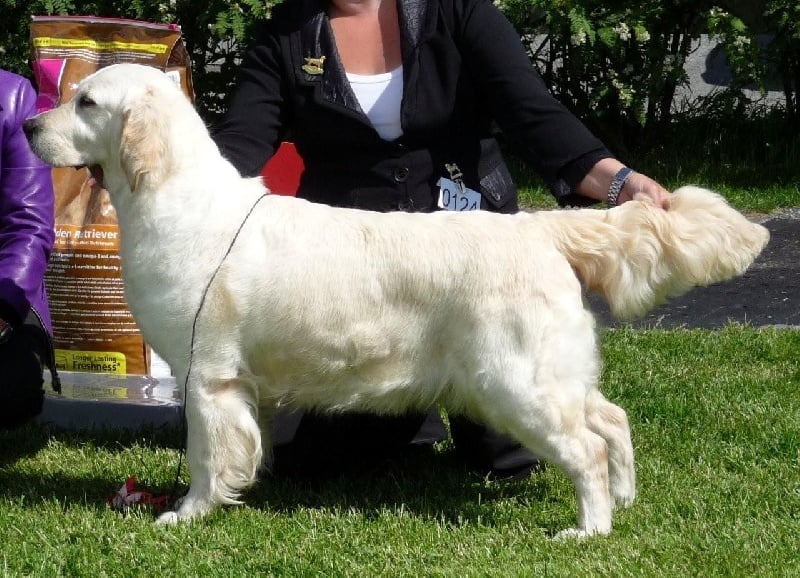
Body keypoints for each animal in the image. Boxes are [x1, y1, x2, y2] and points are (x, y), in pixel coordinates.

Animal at [24, 63, 769, 537]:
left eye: (87, 103)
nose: (29, 127)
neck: (177, 201)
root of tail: (534, 226)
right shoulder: (232, 383)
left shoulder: (209, 376)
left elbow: (208, 456)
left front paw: (187, 514)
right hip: (552, 372)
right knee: (611, 420)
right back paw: (623, 502)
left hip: (514, 381)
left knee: (585, 446)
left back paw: (588, 531)